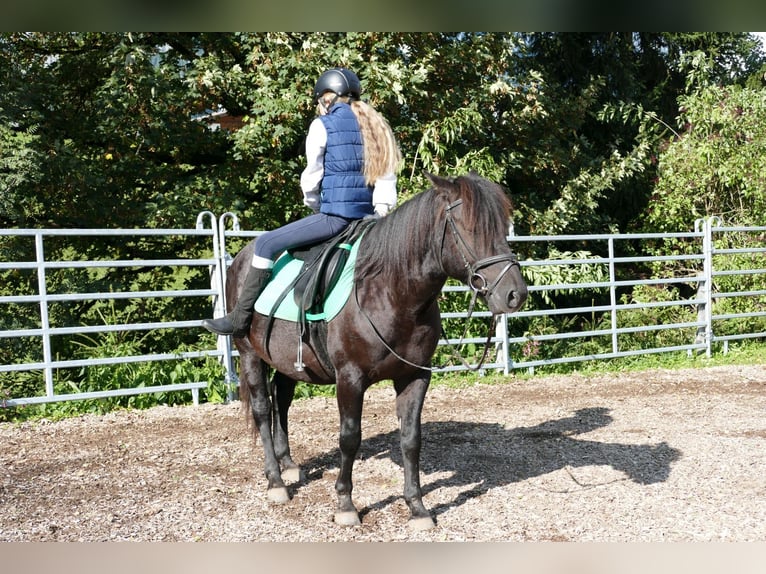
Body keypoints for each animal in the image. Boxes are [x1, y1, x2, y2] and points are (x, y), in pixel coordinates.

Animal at [226, 172, 528, 532]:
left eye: (502, 226)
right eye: (469, 227)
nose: (515, 294)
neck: (390, 294)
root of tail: (241, 258)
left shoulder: (415, 376)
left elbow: (411, 439)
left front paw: (417, 507)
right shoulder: (349, 379)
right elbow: (349, 437)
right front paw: (345, 504)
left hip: (290, 361)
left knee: (281, 401)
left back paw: (288, 465)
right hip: (249, 354)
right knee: (262, 408)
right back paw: (276, 481)